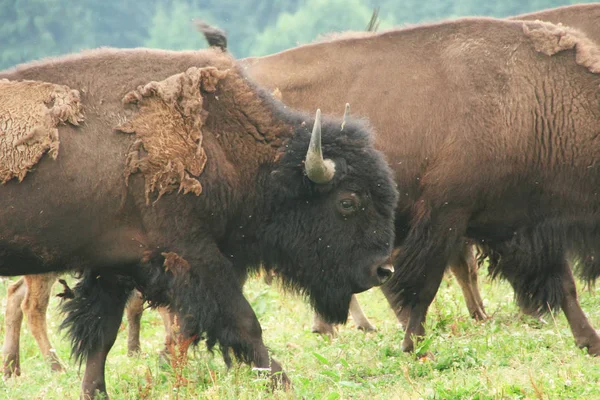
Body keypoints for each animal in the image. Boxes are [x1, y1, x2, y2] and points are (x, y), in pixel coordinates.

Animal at [1, 47, 404, 400]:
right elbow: (244, 322)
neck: (223, 143)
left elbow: (102, 336)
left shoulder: (114, 265)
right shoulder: (192, 253)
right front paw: (283, 383)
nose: (382, 270)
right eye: (348, 202)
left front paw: (95, 392)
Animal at [238, 17, 600, 356]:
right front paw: (414, 346)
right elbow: (424, 286)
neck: (530, 98)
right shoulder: (445, 216)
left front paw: (589, 341)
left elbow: (565, 284)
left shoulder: (526, 222)